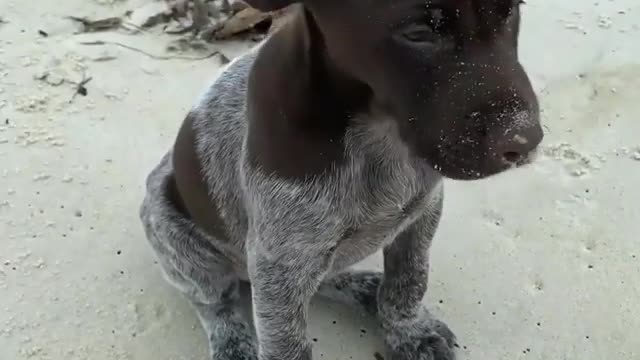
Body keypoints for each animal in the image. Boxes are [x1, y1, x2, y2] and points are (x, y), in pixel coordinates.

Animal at [139, 0, 540, 360]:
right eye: (417, 33)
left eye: (513, 11)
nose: (527, 141)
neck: (378, 130)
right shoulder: (281, 260)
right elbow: (286, 344)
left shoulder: (422, 213)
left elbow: (409, 281)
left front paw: (408, 331)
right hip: (175, 234)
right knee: (212, 302)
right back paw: (232, 343)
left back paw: (365, 287)